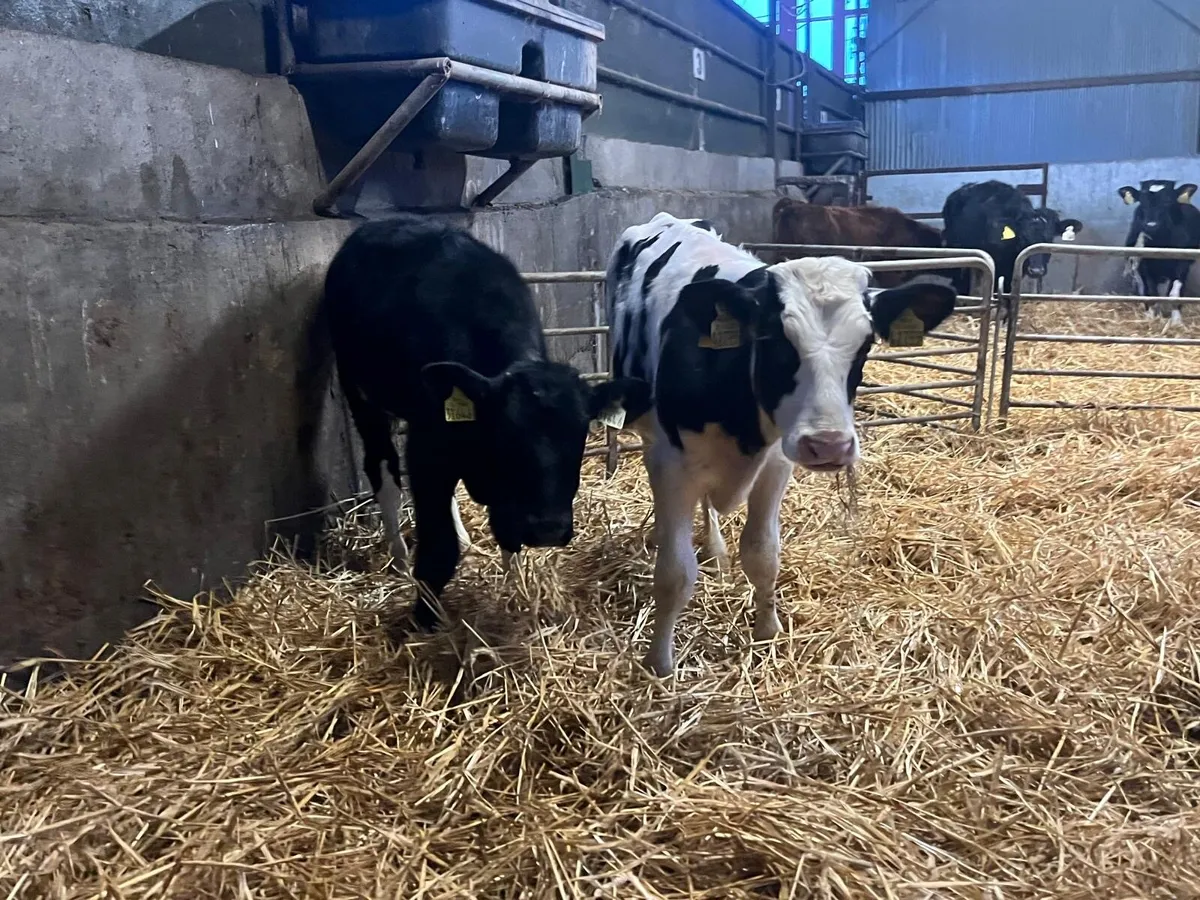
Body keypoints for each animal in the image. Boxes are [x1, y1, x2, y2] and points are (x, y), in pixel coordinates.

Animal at [325, 216, 649, 631]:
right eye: (508, 436)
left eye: (579, 435)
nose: (547, 528)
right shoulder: (429, 445)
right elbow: (438, 544)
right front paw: (425, 617)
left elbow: (505, 523)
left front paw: (516, 584)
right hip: (359, 391)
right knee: (383, 469)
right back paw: (397, 556)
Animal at [606, 212, 957, 676]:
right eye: (773, 340)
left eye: (865, 345)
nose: (828, 444)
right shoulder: (672, 465)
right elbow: (676, 573)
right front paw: (660, 663)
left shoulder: (776, 465)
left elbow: (763, 554)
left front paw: (767, 630)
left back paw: (716, 551)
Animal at [1118, 180, 1200, 325]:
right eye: (1142, 201)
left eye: (1168, 201)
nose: (1151, 225)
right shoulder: (1143, 264)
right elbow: (1150, 292)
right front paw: (1150, 317)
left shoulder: (1182, 263)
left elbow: (1175, 293)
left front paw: (1176, 321)